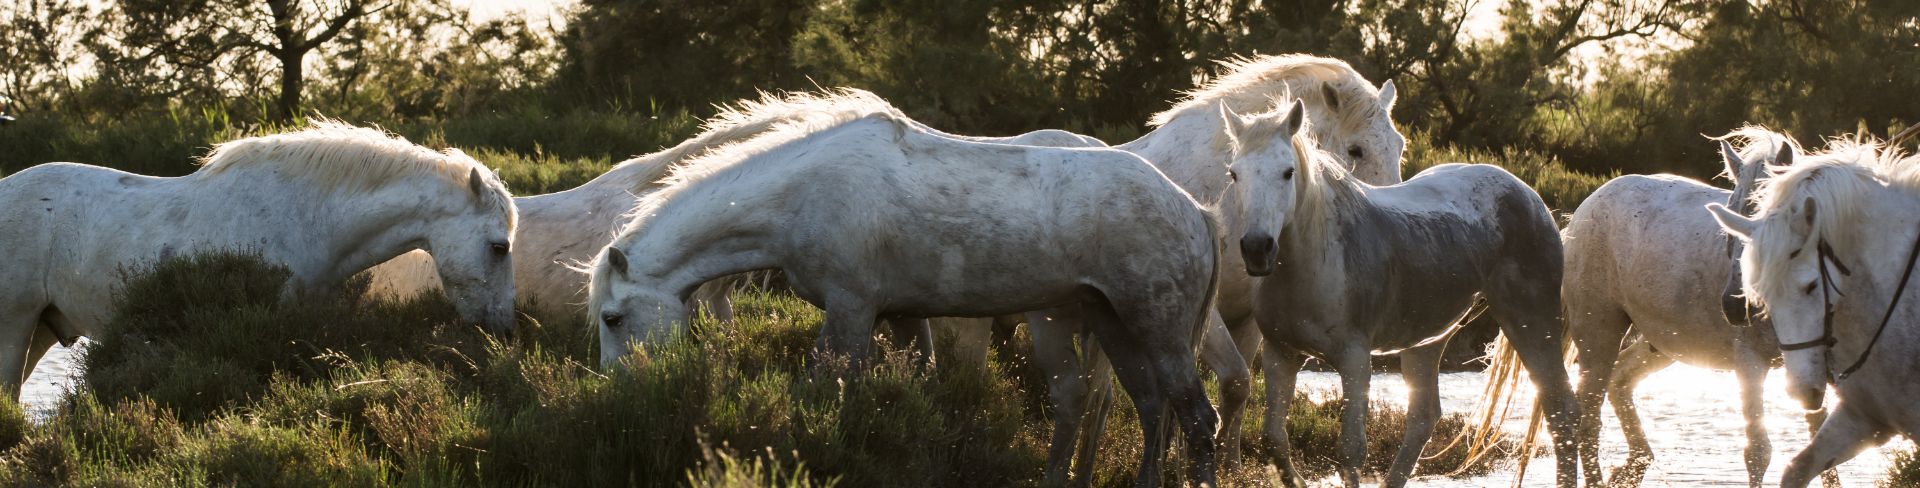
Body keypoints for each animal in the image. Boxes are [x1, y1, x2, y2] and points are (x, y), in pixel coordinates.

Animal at [586, 90, 1224, 487]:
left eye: (612, 318)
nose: (623, 394)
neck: (804, 196)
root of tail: (1195, 209)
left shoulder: (851, 310)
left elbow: (822, 390)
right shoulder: (901, 315)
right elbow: (921, 390)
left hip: (1158, 329)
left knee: (1196, 420)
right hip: (1113, 322)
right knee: (1149, 406)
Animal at [1222, 99, 1579, 487]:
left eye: (1287, 172)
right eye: (1234, 174)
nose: (1257, 249)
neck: (1313, 263)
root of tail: (1530, 197)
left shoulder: (1354, 360)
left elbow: (1350, 451)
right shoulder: (1280, 354)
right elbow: (1274, 440)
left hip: (1530, 321)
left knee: (1562, 409)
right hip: (1429, 339)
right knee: (1424, 418)